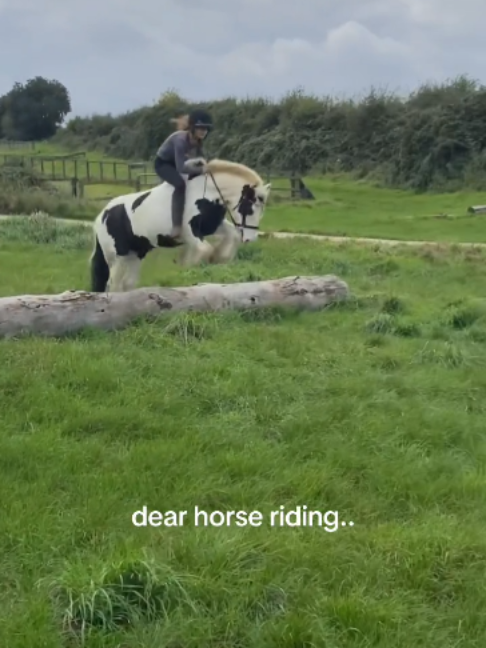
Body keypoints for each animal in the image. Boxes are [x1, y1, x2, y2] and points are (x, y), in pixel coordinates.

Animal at [89, 158, 272, 293]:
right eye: (250, 208)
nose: (250, 239)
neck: (207, 192)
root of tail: (101, 216)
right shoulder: (190, 231)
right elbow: (204, 250)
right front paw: (189, 269)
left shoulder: (214, 226)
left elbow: (230, 238)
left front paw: (218, 260)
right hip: (117, 257)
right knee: (113, 285)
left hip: (135, 254)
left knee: (127, 283)